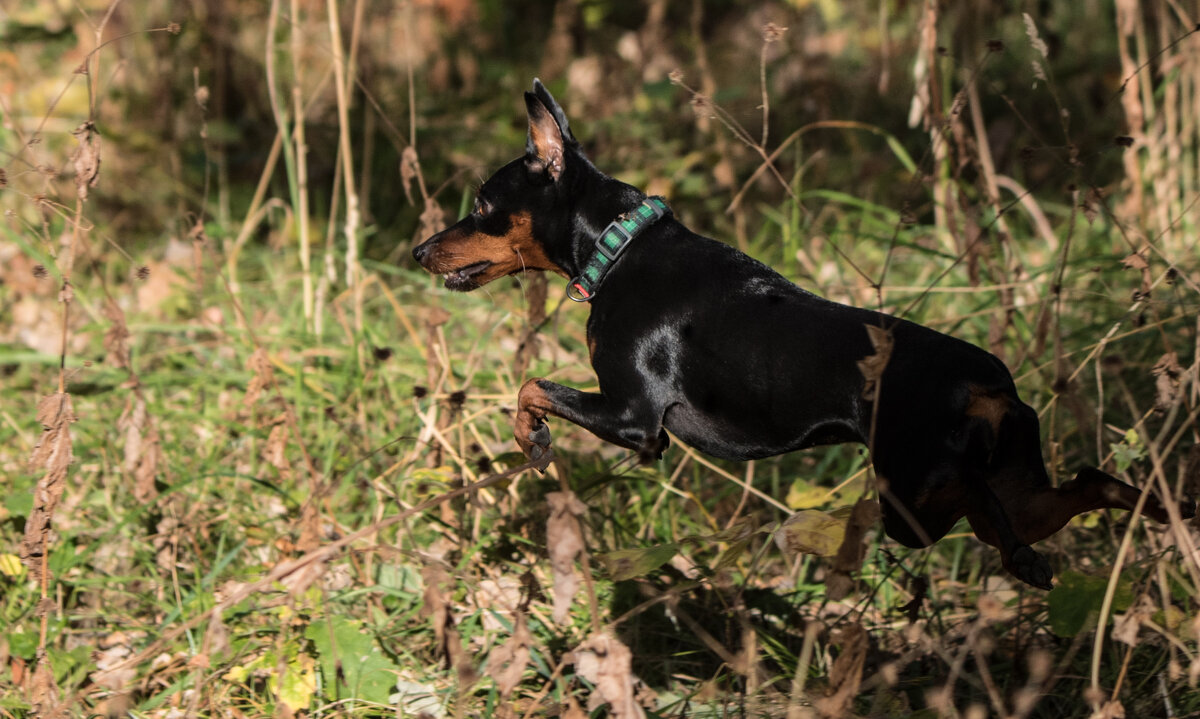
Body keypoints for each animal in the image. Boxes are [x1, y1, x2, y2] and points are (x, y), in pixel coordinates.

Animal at [415, 78, 1190, 588]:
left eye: (481, 204)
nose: (421, 251)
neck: (620, 247)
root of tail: (987, 386)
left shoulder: (635, 419)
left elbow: (531, 386)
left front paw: (532, 440)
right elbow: (533, 385)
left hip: (911, 498)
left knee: (981, 505)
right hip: (1009, 487)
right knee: (1085, 484)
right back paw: (1163, 511)